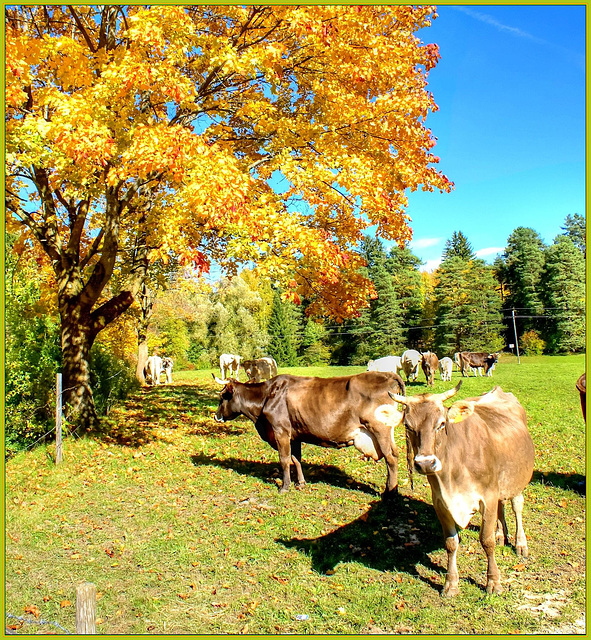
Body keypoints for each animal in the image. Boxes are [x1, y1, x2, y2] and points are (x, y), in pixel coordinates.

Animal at [214, 370, 408, 496]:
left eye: (222, 397)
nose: (216, 416)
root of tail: (387, 374)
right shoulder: (295, 435)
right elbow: (296, 459)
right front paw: (300, 483)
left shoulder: (280, 431)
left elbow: (284, 460)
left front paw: (284, 487)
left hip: (380, 429)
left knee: (391, 458)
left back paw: (390, 492)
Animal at [394, 380, 536, 596]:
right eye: (408, 426)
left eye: (441, 424)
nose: (425, 464)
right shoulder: (440, 502)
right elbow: (451, 543)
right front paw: (451, 584)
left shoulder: (488, 496)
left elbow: (486, 540)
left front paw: (493, 582)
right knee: (502, 506)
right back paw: (501, 534)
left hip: (517, 476)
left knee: (517, 505)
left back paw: (520, 543)